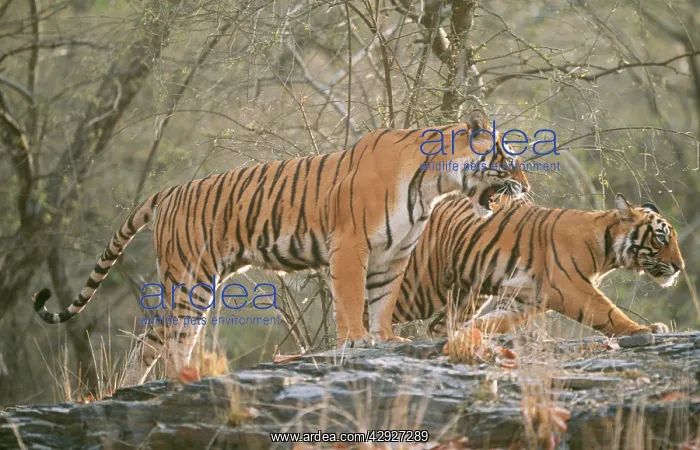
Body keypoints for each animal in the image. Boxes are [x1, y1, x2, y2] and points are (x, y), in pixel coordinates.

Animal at [31, 109, 529, 386]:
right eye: (508, 161)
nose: (526, 186)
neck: (434, 186)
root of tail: (168, 192)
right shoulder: (350, 245)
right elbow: (351, 299)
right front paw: (356, 339)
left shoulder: (395, 255)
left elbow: (382, 301)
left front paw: (386, 338)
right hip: (191, 281)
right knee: (173, 340)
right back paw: (180, 379)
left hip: (187, 285)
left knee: (150, 343)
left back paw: (130, 389)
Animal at [394, 193, 685, 338]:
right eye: (661, 238)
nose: (680, 266)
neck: (608, 251)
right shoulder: (569, 287)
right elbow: (608, 312)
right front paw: (644, 330)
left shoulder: (527, 298)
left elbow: (497, 321)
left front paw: (471, 334)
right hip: (421, 288)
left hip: (467, 295)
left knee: (437, 326)